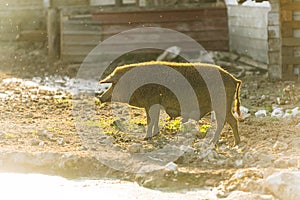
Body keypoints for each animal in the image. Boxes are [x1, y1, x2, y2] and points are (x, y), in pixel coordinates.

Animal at [99, 61, 243, 145]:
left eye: (114, 83)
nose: (100, 98)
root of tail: (234, 79)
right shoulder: (154, 105)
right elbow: (155, 121)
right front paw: (154, 135)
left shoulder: (151, 103)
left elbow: (150, 121)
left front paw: (145, 138)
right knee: (224, 122)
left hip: (222, 105)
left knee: (230, 121)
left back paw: (232, 143)